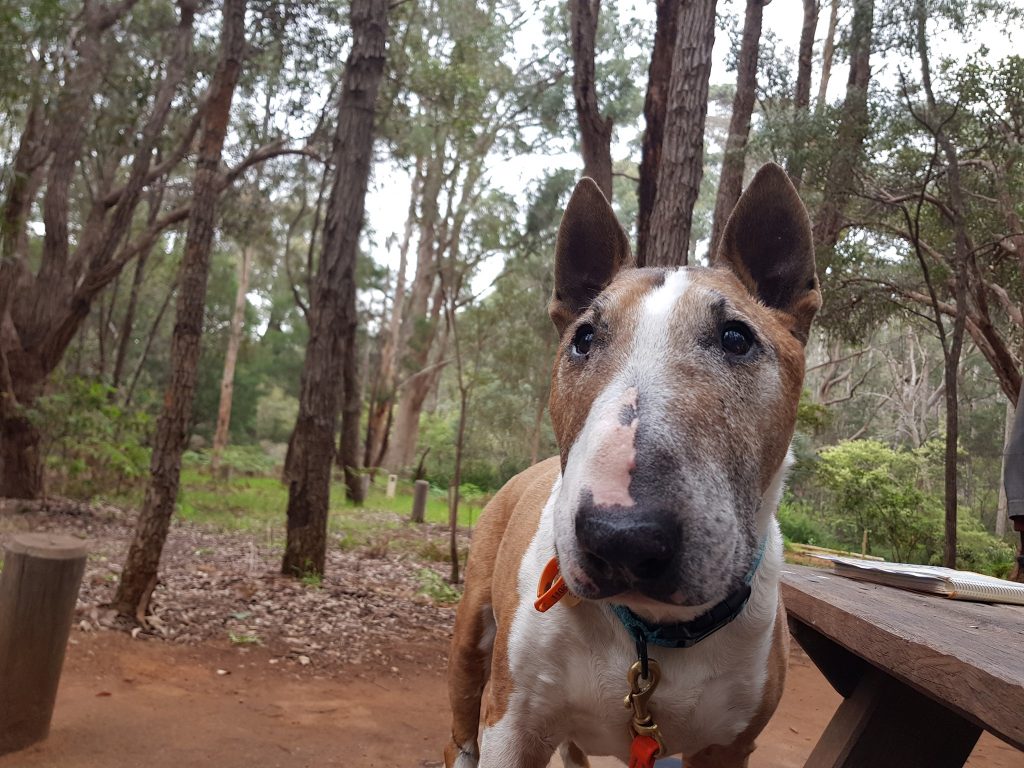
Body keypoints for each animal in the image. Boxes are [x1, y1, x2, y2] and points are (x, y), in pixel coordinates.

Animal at [444, 163, 819, 768]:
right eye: (583, 338)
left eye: (736, 337)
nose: (621, 535)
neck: (650, 636)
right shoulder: (513, 725)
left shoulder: (727, 747)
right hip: (471, 640)